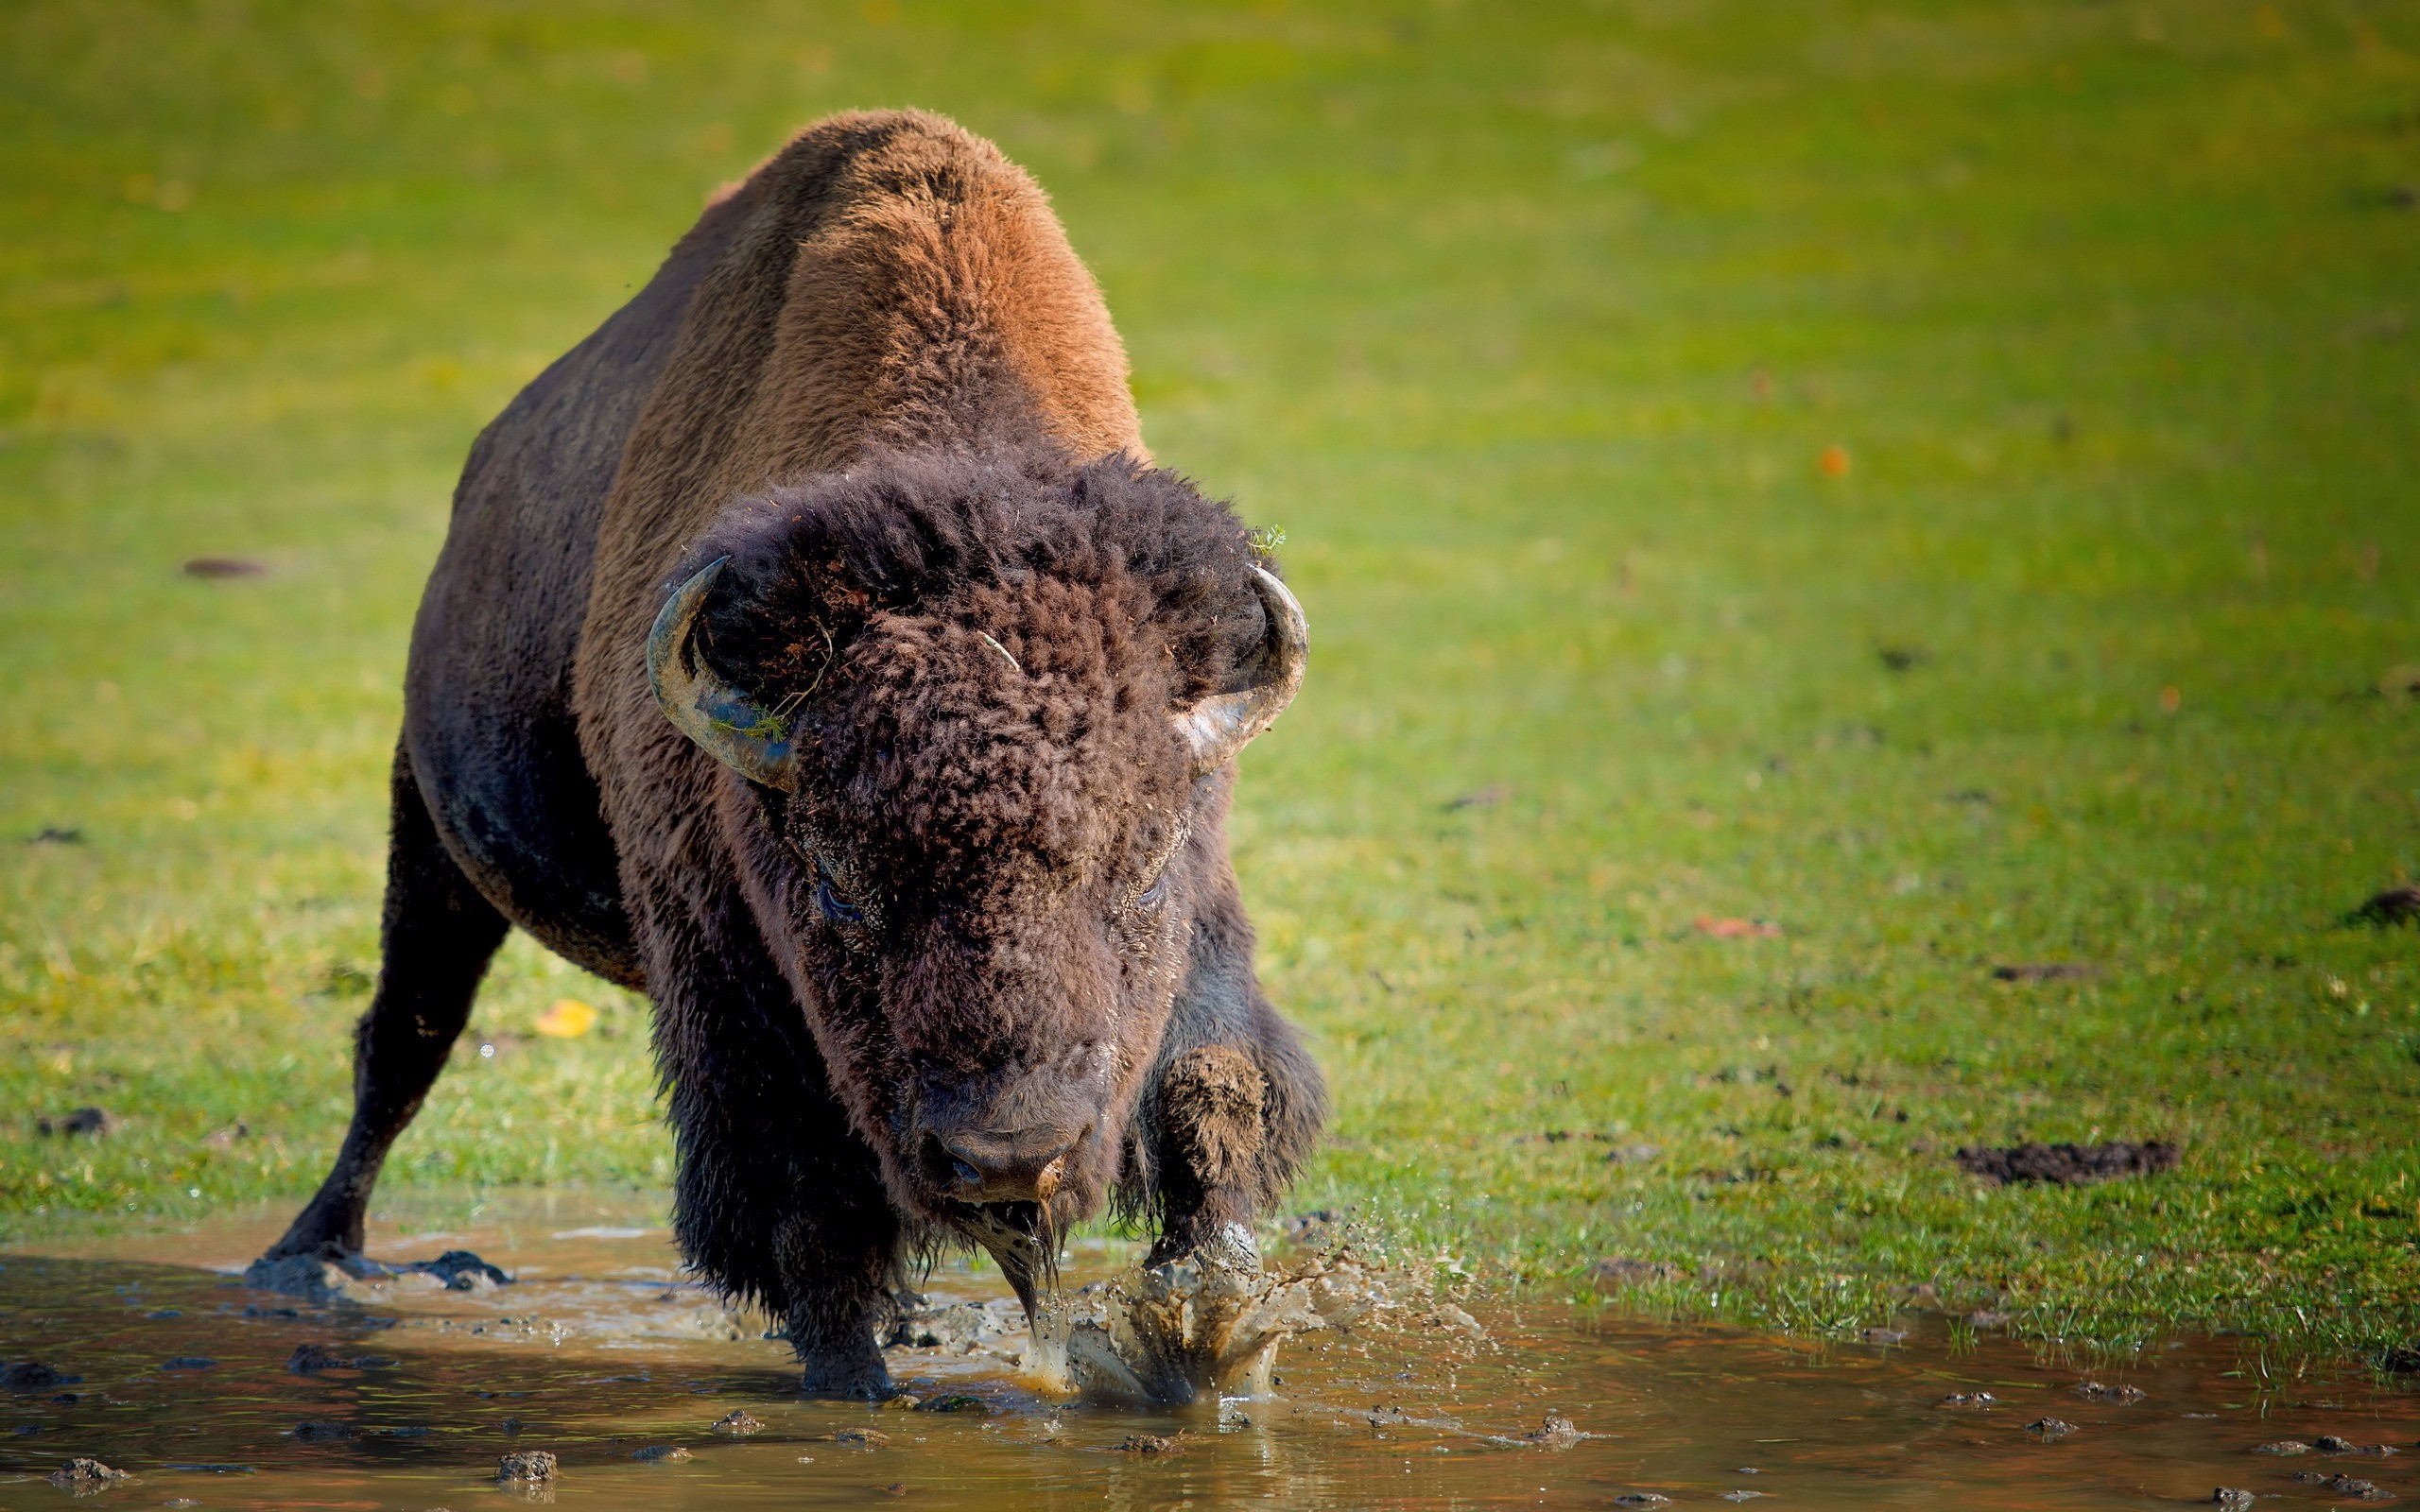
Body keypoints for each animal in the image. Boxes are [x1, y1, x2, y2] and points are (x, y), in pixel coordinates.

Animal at [259, 111, 1324, 1397]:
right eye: (836, 882)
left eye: (1147, 863)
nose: (1007, 1157)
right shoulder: (723, 976)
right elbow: (804, 1208)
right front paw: (854, 1386)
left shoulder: (1204, 923)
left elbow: (1217, 1092)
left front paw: (1208, 1343)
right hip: (430, 835)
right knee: (403, 1040)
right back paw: (307, 1257)